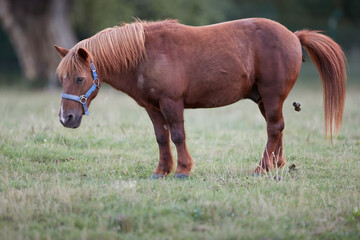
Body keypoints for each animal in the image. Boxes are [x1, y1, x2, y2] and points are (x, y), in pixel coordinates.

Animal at [55, 18, 346, 178]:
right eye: (61, 78)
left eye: (79, 79)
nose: (65, 118)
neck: (145, 54)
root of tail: (294, 37)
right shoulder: (152, 108)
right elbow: (161, 137)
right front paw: (162, 171)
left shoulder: (172, 103)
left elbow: (177, 135)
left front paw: (182, 170)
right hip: (264, 100)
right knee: (277, 129)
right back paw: (276, 165)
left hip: (272, 96)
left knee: (274, 128)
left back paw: (262, 168)